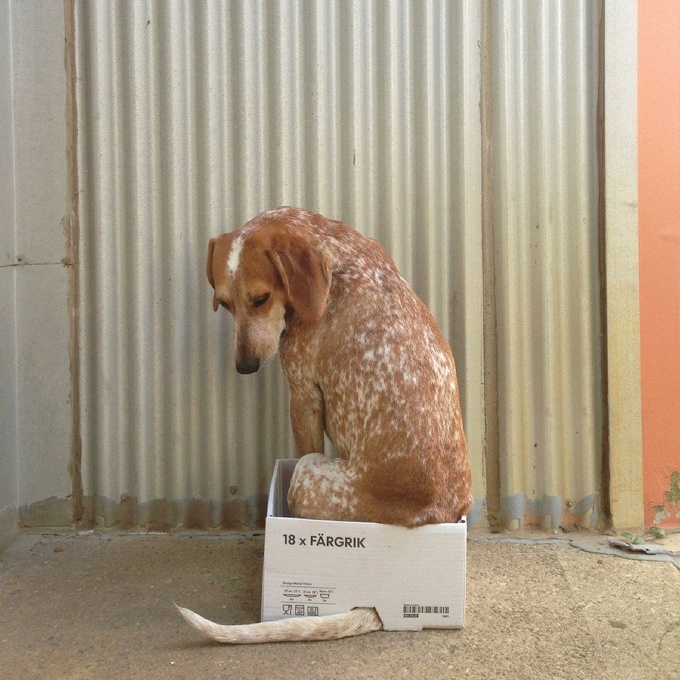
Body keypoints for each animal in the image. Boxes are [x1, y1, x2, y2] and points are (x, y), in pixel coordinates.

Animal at [177, 207, 472, 644]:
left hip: (306, 475)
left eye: (261, 298)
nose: (245, 366)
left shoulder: (303, 395)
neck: (334, 251)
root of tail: (439, 516)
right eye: (225, 304)